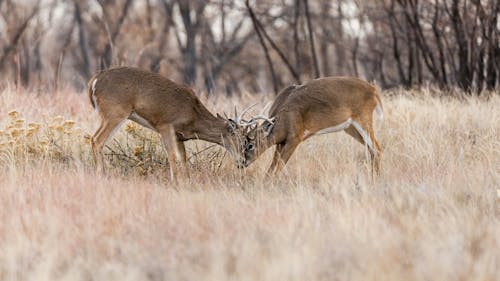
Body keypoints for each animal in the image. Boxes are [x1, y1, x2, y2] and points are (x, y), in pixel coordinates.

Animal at [88, 66, 252, 178]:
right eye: (244, 141)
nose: (243, 162)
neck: (193, 116)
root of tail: (95, 80)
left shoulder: (179, 137)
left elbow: (183, 158)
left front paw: (187, 180)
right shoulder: (165, 125)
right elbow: (172, 155)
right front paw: (175, 181)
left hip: (110, 115)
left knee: (95, 139)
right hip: (115, 113)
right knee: (97, 140)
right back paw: (101, 175)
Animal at [238, 76, 382, 175]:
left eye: (250, 145)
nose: (241, 163)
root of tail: (374, 90)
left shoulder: (295, 138)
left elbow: (279, 166)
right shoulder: (281, 142)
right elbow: (272, 167)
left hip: (363, 119)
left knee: (377, 148)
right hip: (350, 127)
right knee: (371, 150)